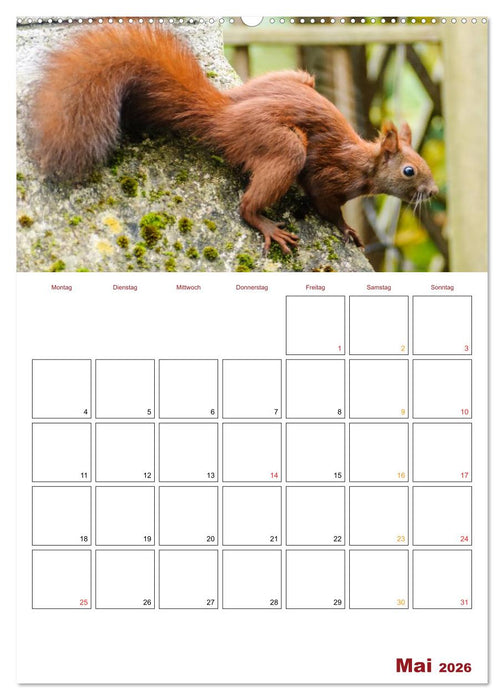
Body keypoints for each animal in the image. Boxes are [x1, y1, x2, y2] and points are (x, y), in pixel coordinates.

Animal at [30, 24, 438, 254]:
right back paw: (268, 226)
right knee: (245, 206)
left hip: (298, 79)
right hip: (285, 147)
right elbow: (326, 205)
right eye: (409, 171)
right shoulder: (330, 178)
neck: (365, 163)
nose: (434, 192)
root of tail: (225, 115)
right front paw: (347, 229)